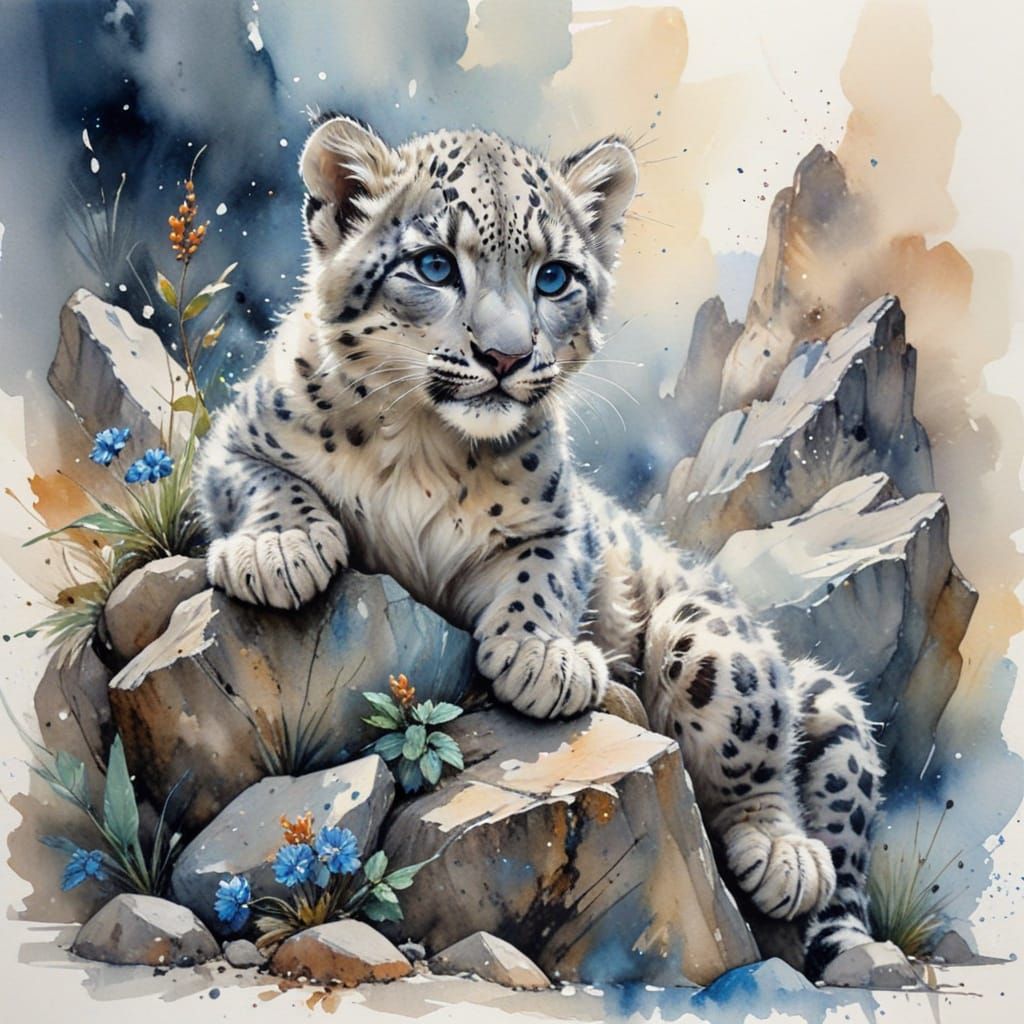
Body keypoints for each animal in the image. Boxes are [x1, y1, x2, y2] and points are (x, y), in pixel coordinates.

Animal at [195, 113, 892, 982]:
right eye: (435, 264)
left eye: (554, 277)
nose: (505, 356)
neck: (420, 443)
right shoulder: (233, 444)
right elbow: (272, 483)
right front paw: (282, 550)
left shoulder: (564, 522)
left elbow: (545, 574)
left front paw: (541, 660)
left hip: (716, 646)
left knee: (761, 753)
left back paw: (784, 855)